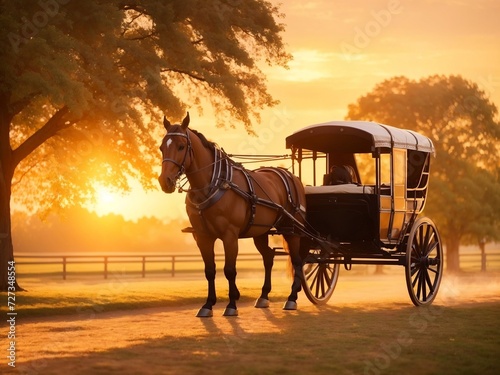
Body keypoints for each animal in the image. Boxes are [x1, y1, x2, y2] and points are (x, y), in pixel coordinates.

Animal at [158, 114, 306, 318]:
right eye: (162, 147)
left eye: (181, 146)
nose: (165, 181)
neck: (214, 184)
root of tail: (291, 176)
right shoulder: (202, 237)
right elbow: (210, 270)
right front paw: (208, 304)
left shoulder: (230, 235)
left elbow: (229, 270)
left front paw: (232, 303)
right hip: (260, 232)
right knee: (268, 257)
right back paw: (264, 296)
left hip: (291, 230)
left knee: (297, 260)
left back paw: (292, 298)